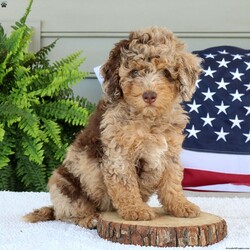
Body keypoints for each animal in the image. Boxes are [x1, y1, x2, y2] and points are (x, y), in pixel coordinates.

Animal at [23, 26, 202, 229]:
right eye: (134, 72)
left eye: (166, 72)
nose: (149, 95)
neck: (148, 120)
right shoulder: (119, 154)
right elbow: (125, 183)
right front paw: (135, 210)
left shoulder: (169, 152)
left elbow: (172, 181)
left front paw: (181, 206)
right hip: (63, 185)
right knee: (68, 213)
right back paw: (89, 219)